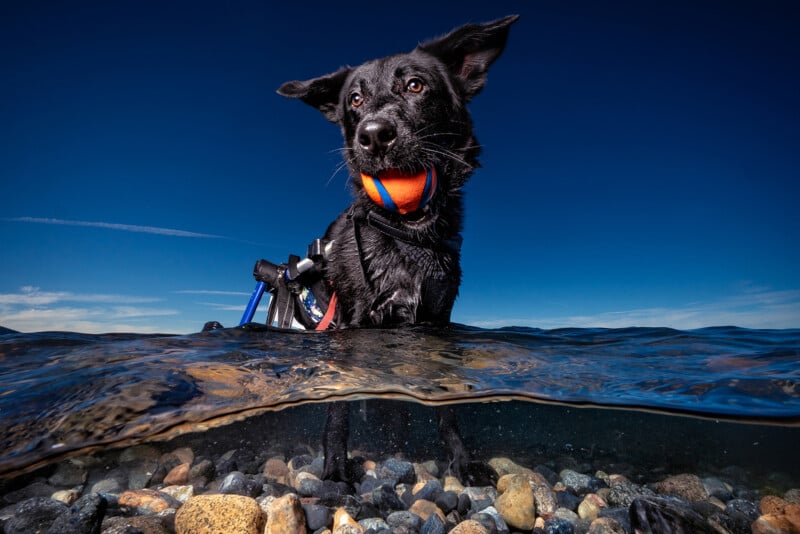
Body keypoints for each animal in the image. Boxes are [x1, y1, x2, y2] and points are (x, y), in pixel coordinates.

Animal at [280, 15, 520, 486]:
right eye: (355, 99)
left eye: (415, 85)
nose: (373, 135)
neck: (407, 236)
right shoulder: (352, 324)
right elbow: (339, 409)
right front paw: (335, 467)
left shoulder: (437, 321)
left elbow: (445, 407)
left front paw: (461, 461)